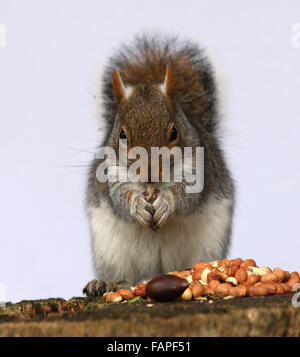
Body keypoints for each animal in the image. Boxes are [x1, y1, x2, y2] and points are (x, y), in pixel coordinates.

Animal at [83, 34, 236, 294]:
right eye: (122, 135)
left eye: (174, 132)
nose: (150, 174)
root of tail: (158, 269)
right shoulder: (111, 173)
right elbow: (120, 200)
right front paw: (136, 204)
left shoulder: (199, 168)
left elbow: (187, 197)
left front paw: (166, 201)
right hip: (110, 250)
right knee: (122, 277)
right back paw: (105, 283)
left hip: (209, 243)